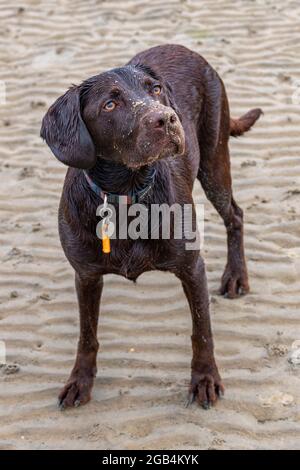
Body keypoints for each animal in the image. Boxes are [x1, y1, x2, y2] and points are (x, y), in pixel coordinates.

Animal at [41, 45, 262, 412]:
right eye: (110, 104)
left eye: (154, 90)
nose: (167, 119)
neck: (128, 191)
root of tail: (187, 49)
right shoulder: (85, 275)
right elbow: (87, 335)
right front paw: (79, 381)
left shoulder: (192, 268)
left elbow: (202, 330)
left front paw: (205, 379)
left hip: (214, 161)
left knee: (236, 215)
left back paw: (236, 276)